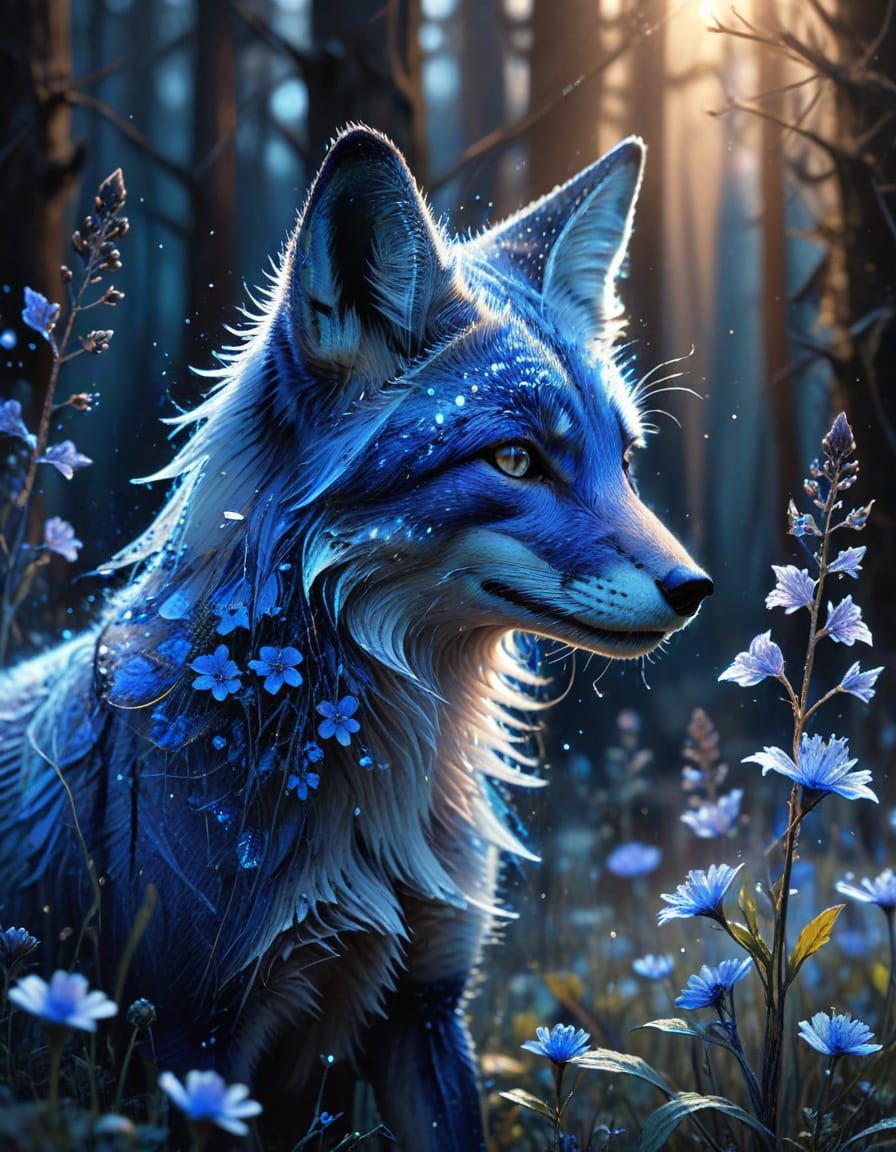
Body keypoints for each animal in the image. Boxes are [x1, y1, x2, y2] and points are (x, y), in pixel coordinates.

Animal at [0, 125, 711, 1150]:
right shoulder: (192, 1041)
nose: (694, 590)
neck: (380, 802)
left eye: (624, 459)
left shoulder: (428, 1007)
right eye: (515, 459)